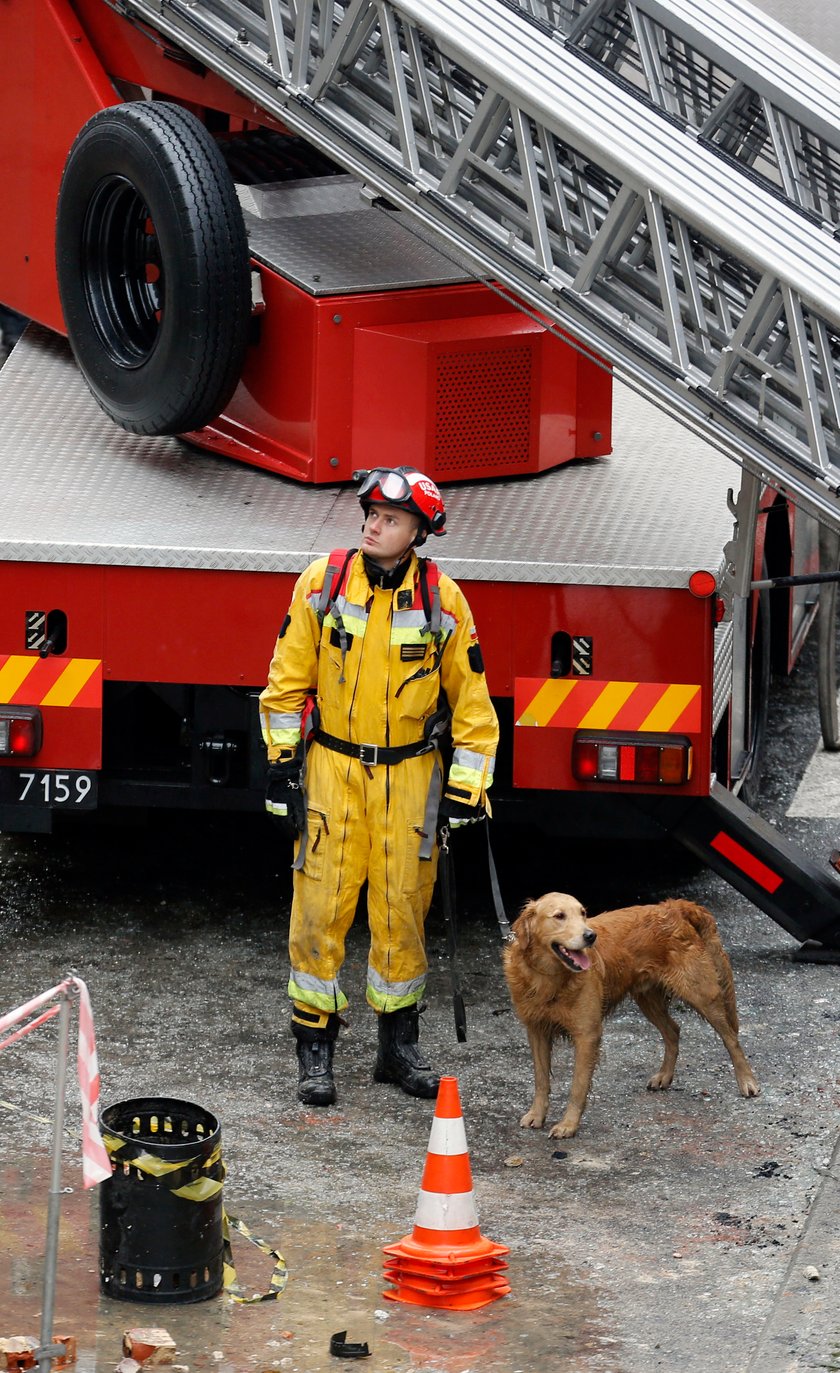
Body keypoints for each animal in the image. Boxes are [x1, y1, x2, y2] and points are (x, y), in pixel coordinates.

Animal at [505, 889, 763, 1136]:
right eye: (559, 916)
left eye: (583, 913)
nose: (590, 936)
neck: (549, 979)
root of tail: (674, 906)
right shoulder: (536, 1031)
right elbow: (541, 1080)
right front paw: (537, 1115)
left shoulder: (587, 1034)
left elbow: (577, 1087)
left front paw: (568, 1125)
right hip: (648, 999)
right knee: (673, 1030)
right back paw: (664, 1076)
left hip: (702, 995)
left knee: (731, 1038)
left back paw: (747, 1082)